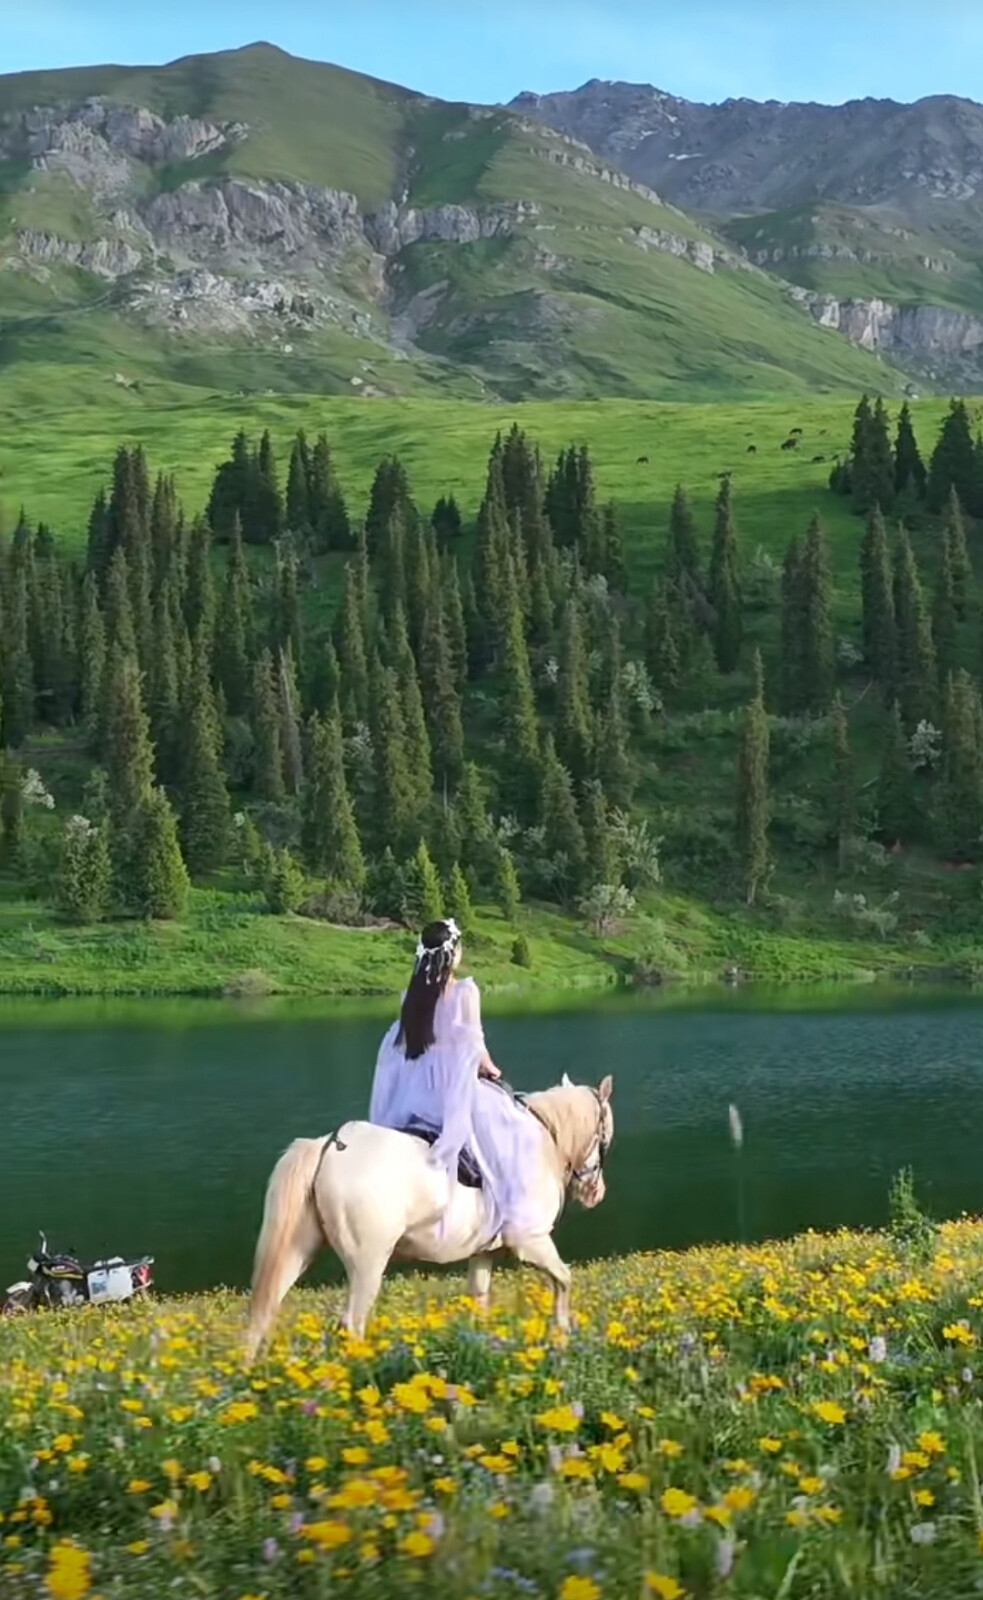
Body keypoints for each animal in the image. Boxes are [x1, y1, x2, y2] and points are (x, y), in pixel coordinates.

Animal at [246, 1068, 611, 1356]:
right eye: (605, 1135)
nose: (597, 1193)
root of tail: (329, 1145)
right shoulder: (531, 1242)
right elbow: (564, 1279)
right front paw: (562, 1333)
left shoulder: (483, 1253)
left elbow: (479, 1300)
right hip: (368, 1263)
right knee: (352, 1323)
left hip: (299, 1250)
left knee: (263, 1314)